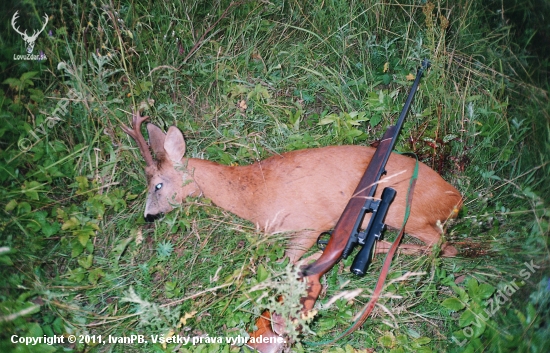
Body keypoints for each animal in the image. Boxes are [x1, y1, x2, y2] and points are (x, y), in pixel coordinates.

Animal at [123, 110, 464, 262]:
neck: (253, 195)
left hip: (406, 214)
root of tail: (456, 199)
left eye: (157, 185)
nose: (148, 216)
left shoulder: (310, 223)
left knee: (443, 247)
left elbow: (286, 262)